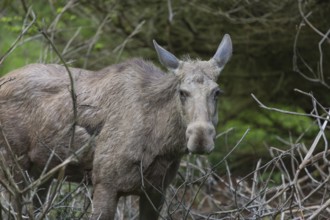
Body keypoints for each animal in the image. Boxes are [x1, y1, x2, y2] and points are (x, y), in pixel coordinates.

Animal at [0, 34, 232, 218]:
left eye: (217, 92)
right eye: (182, 92)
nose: (201, 138)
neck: (162, 147)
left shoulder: (156, 191)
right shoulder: (105, 184)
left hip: (43, 171)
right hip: (13, 166)